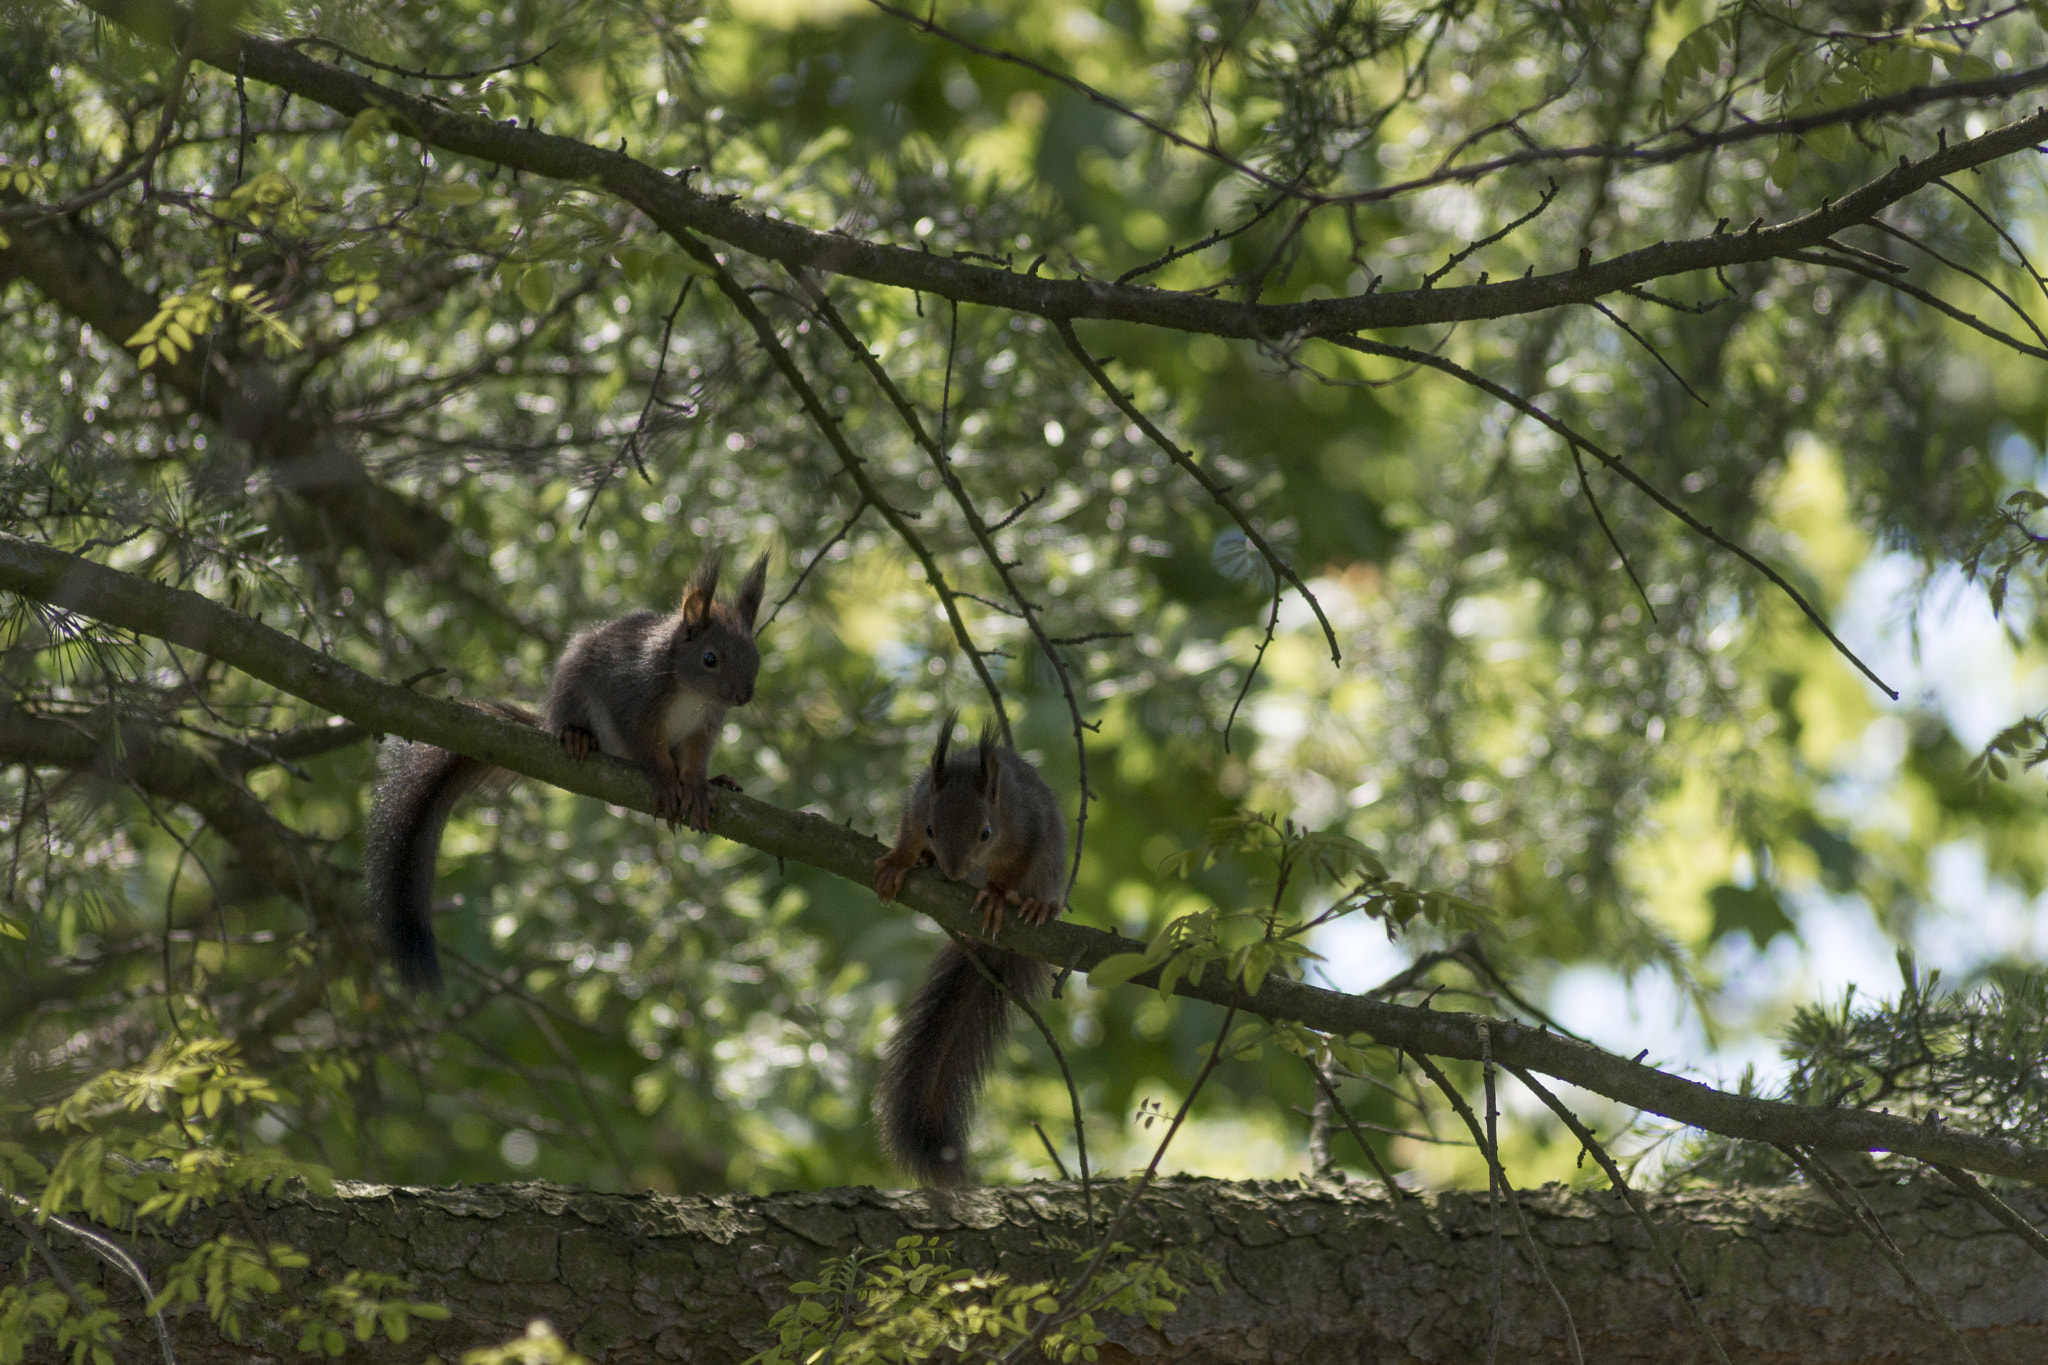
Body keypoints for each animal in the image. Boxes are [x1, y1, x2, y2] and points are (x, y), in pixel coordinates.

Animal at [365, 551, 767, 991]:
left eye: (755, 657)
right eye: (710, 658)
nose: (744, 696)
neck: (690, 692)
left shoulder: (703, 727)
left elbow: (694, 760)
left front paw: (696, 785)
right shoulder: (634, 699)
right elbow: (647, 748)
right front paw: (664, 781)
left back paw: (720, 782)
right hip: (574, 693)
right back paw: (577, 737)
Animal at [871, 711, 1068, 1185]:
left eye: (986, 832)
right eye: (931, 828)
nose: (954, 871)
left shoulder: (1028, 828)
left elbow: (1015, 867)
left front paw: (997, 895)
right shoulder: (916, 805)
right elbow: (905, 835)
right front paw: (900, 862)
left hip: (1051, 867)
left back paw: (1035, 905)